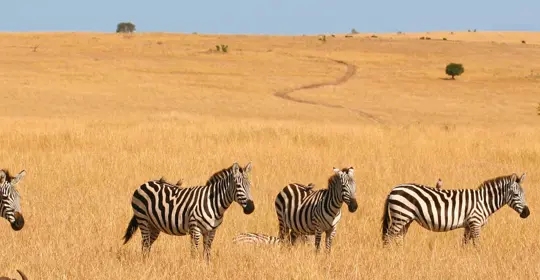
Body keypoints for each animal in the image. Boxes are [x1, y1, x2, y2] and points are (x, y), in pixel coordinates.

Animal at [124, 163, 255, 262]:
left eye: (250, 185)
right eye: (238, 186)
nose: (251, 208)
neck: (213, 203)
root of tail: (145, 183)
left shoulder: (211, 231)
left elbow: (207, 252)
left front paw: (206, 268)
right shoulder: (195, 229)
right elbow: (195, 252)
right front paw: (195, 267)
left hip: (154, 226)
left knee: (146, 246)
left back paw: (148, 263)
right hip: (143, 220)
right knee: (145, 244)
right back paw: (145, 264)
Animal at [382, 172, 528, 246]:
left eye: (524, 194)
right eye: (516, 195)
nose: (527, 213)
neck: (483, 202)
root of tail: (393, 190)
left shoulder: (468, 225)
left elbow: (465, 244)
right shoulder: (475, 223)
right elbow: (477, 245)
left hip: (406, 219)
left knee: (398, 238)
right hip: (400, 217)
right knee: (389, 237)